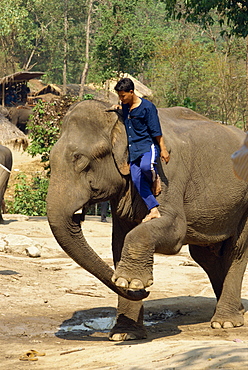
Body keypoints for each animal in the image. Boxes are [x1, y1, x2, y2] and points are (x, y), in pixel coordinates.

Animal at [46, 99, 248, 342]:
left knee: (236, 251)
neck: (120, 120)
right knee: (205, 256)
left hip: (245, 203)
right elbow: (119, 242)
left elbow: (175, 231)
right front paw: (124, 333)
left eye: (81, 161)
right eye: (49, 161)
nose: (146, 291)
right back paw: (237, 311)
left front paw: (132, 282)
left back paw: (225, 322)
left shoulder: (165, 172)